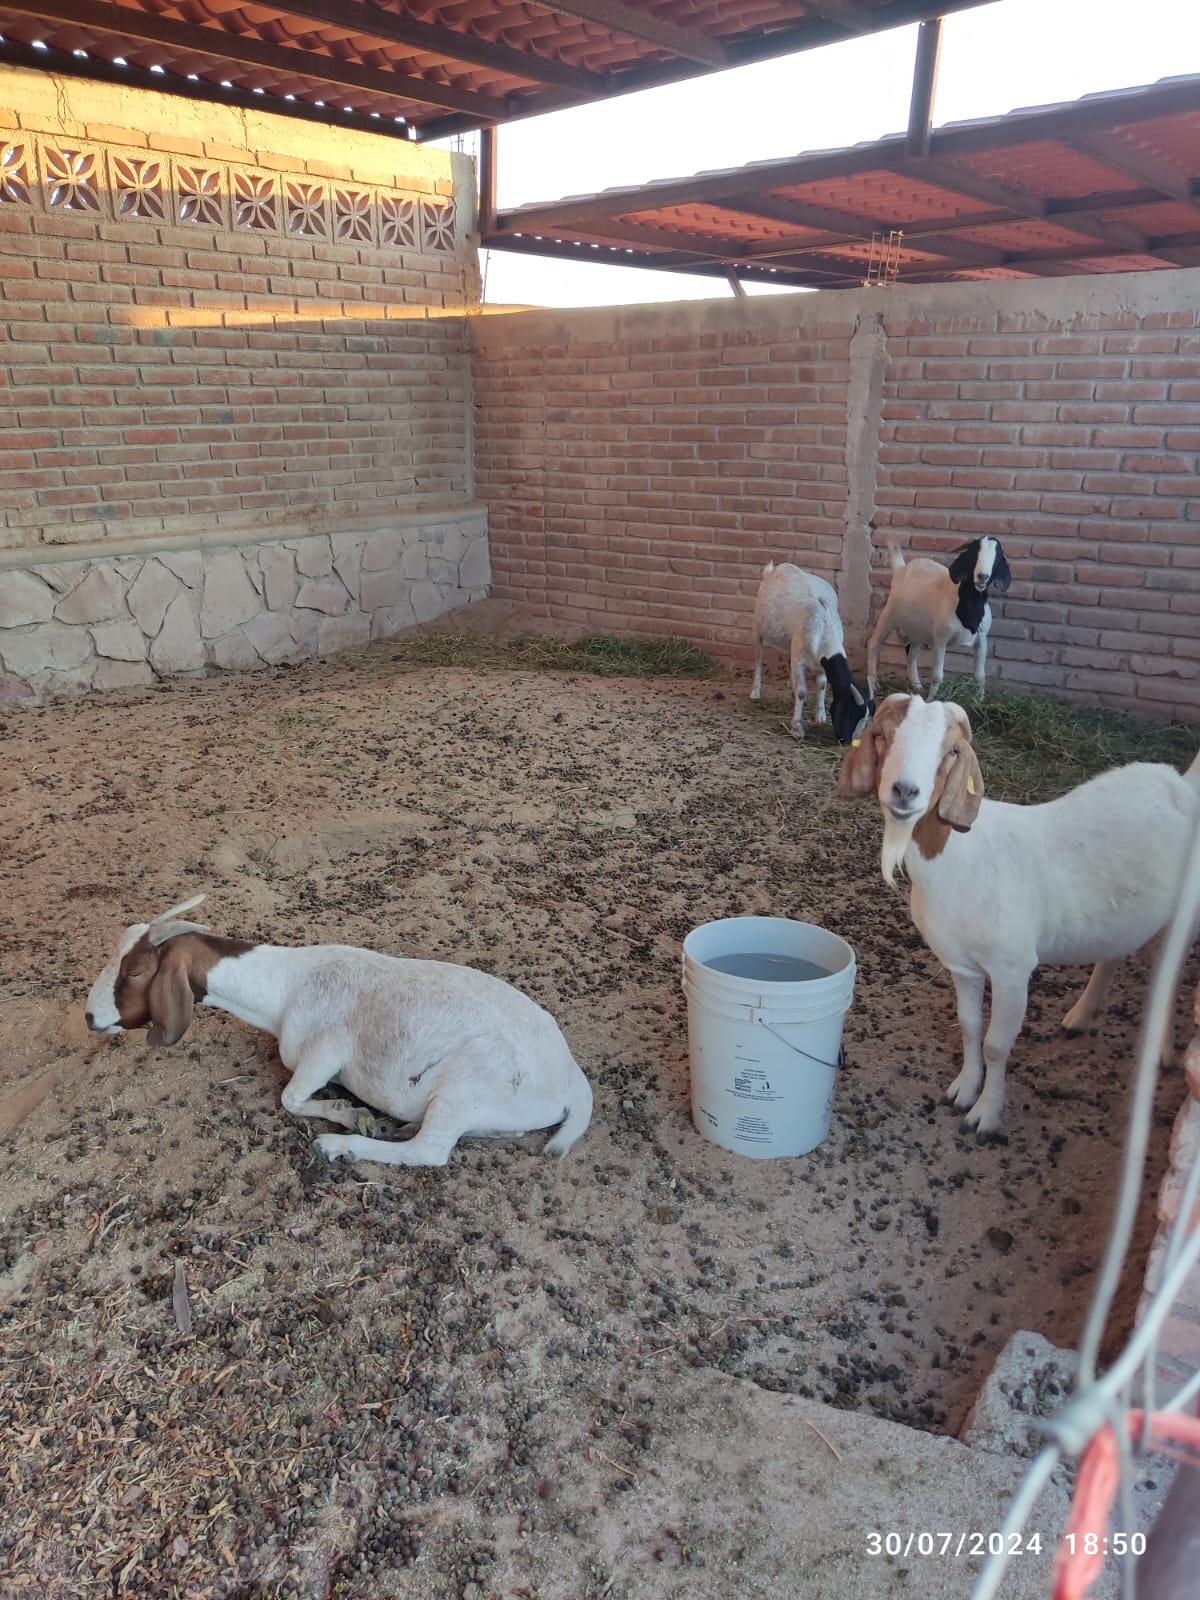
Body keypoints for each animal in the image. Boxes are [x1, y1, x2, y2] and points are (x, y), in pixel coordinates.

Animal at [83, 896, 592, 1171]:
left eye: (134, 971)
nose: (89, 1016)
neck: (288, 986)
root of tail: (573, 1080)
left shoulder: (324, 1052)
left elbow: (290, 1098)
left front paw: (348, 1114)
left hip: (462, 1087)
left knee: (429, 1151)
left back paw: (340, 1146)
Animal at [752, 560, 876, 739]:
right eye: (852, 715)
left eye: (866, 720)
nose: (853, 740)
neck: (823, 628)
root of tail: (774, 569)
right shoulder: (799, 661)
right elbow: (802, 692)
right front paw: (797, 729)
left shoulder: (821, 663)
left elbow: (822, 684)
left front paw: (820, 715)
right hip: (757, 627)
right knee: (759, 657)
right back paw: (755, 692)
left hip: (790, 642)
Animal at [838, 697, 1196, 1139]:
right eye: (882, 735)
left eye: (951, 751)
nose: (905, 791)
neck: (963, 856)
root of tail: (1178, 783)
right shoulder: (962, 966)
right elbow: (969, 1027)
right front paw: (963, 1090)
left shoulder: (1012, 969)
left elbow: (995, 1044)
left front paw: (986, 1115)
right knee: (1114, 953)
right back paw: (1080, 1016)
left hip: (1186, 912)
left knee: (1171, 971)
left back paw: (1162, 1052)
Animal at [870, 537, 1011, 700]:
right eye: (974, 552)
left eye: (998, 556)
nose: (982, 576)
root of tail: (901, 569)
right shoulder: (940, 639)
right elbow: (937, 676)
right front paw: (931, 700)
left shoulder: (982, 640)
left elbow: (980, 675)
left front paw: (980, 700)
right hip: (889, 614)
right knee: (874, 643)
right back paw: (872, 686)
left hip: (917, 631)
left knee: (911, 656)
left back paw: (918, 688)